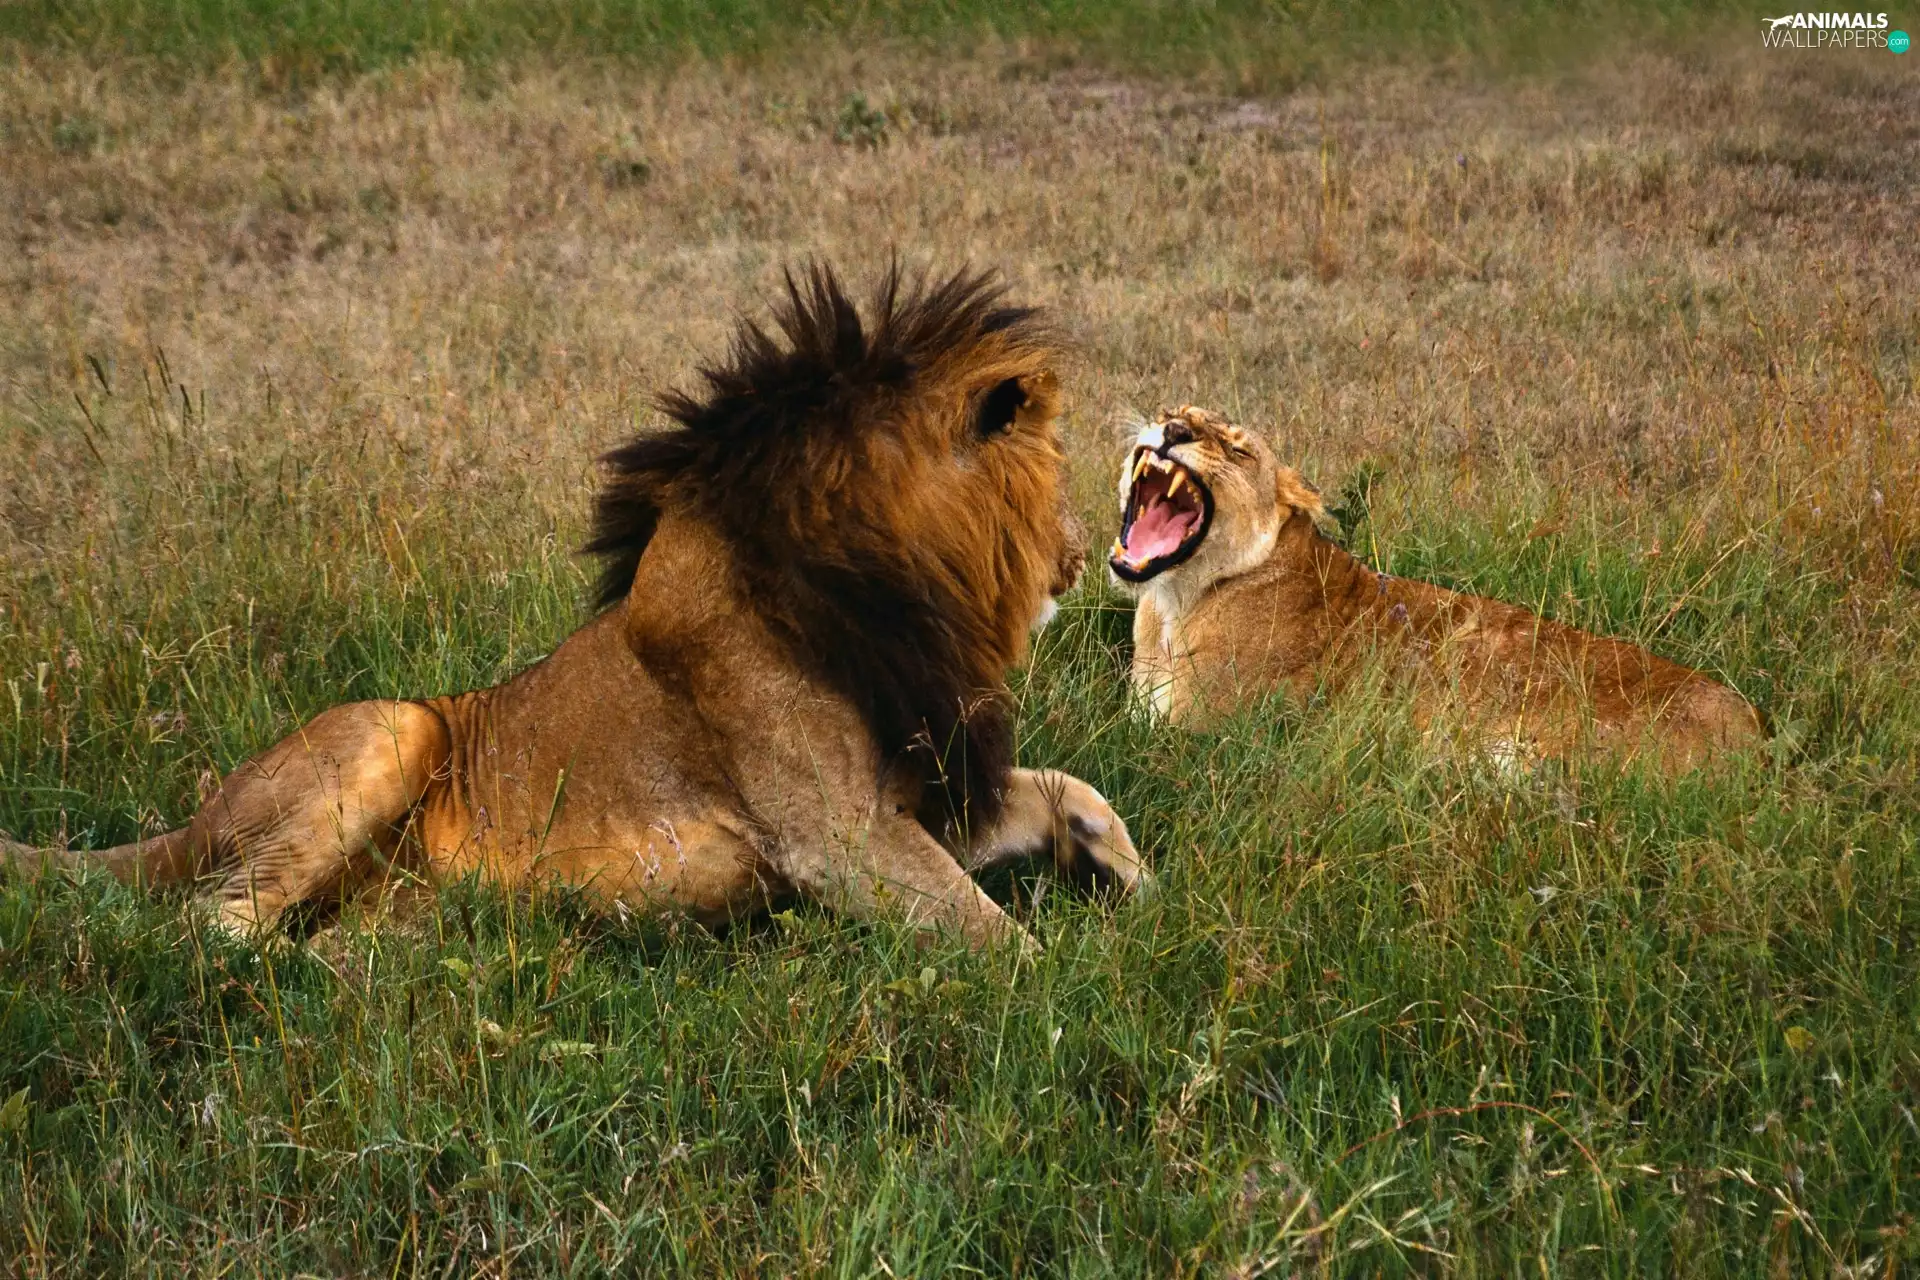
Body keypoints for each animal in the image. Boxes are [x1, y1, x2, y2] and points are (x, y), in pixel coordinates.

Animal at [1, 265, 1147, 949]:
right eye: (1058, 472)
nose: (1081, 560)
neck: (893, 596)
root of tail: (193, 817)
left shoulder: (926, 785)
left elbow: (1067, 785)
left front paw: (1124, 870)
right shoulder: (839, 835)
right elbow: (1000, 943)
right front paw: (1085, 992)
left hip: (397, 896)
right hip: (389, 733)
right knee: (208, 929)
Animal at [1107, 405, 1764, 773]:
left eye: (1238, 450)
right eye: (1177, 407)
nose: (1172, 428)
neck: (1173, 604)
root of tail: (1756, 730)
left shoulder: (1195, 736)